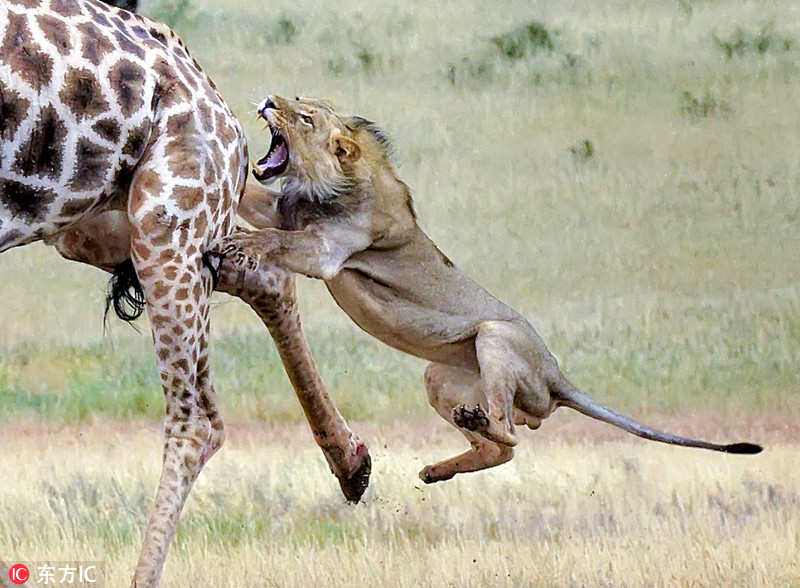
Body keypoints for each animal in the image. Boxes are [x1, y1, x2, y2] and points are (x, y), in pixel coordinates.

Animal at [222, 95, 760, 482]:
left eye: (304, 117)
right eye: (295, 100)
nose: (267, 99)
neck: (327, 185)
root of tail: (557, 376)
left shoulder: (328, 251)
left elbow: (279, 241)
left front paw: (241, 243)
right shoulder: (283, 210)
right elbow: (253, 201)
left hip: (496, 336)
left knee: (510, 434)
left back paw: (476, 429)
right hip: (440, 376)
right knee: (501, 451)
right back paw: (438, 468)